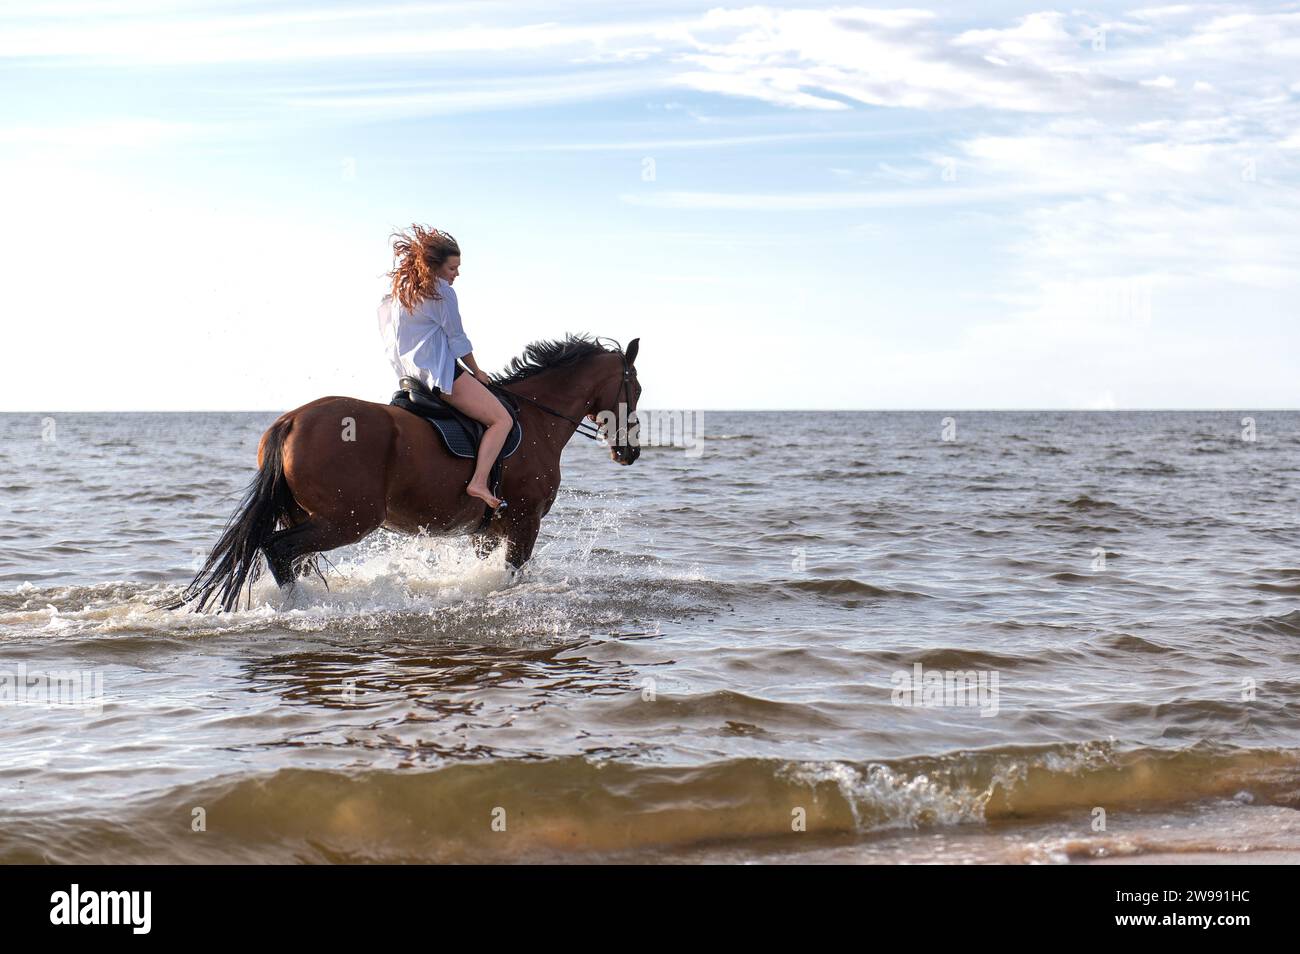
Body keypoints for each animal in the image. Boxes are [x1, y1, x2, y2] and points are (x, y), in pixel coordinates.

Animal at [166, 334, 641, 612]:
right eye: (634, 387)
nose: (630, 452)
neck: (536, 417)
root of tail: (292, 421)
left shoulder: (489, 530)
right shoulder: (524, 520)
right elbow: (511, 575)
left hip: (308, 515)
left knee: (288, 557)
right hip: (347, 520)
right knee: (279, 549)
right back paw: (301, 605)